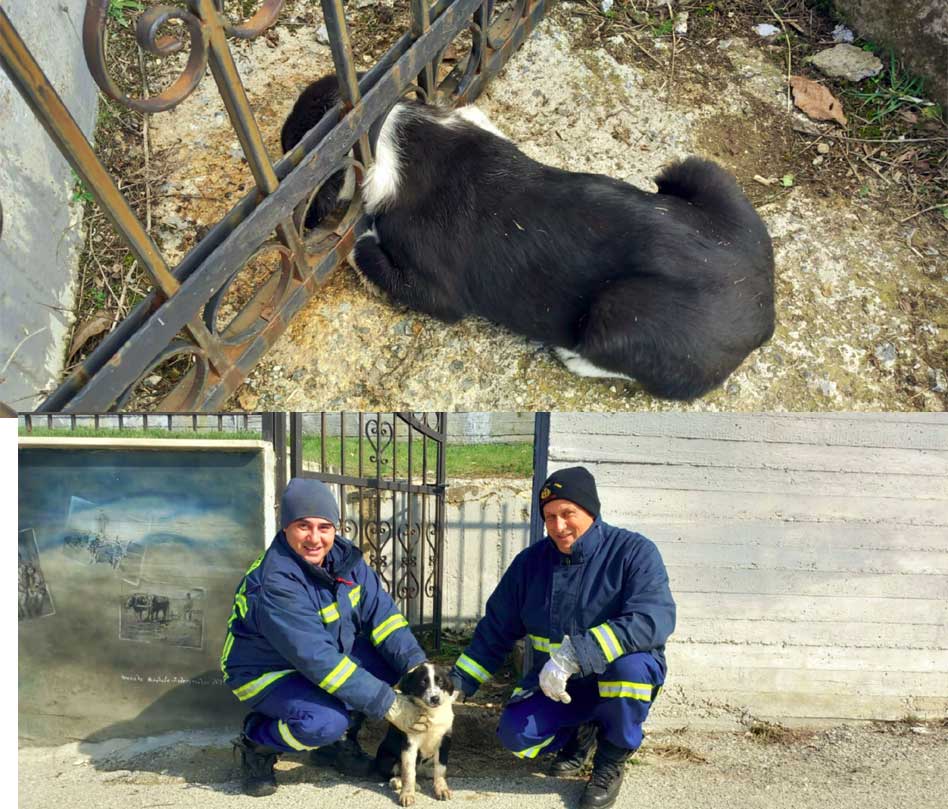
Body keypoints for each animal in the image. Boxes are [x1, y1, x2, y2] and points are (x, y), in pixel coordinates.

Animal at [374, 664, 456, 800]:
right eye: (422, 682)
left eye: (440, 682)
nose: (435, 698)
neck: (431, 713)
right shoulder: (410, 743)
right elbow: (408, 771)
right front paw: (407, 793)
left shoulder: (445, 740)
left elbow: (440, 768)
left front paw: (441, 787)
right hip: (387, 759)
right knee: (396, 772)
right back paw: (397, 781)